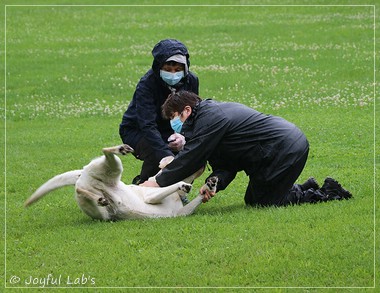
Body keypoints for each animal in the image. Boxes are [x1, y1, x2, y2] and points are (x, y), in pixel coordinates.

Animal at [25, 144, 218, 219]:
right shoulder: (151, 196)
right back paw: (120, 149)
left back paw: (100, 198)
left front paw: (210, 185)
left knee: (81, 191)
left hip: (102, 213)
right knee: (106, 152)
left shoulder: (181, 213)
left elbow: (196, 201)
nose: (204, 161)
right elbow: (172, 185)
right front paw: (182, 185)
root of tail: (82, 174)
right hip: (115, 167)